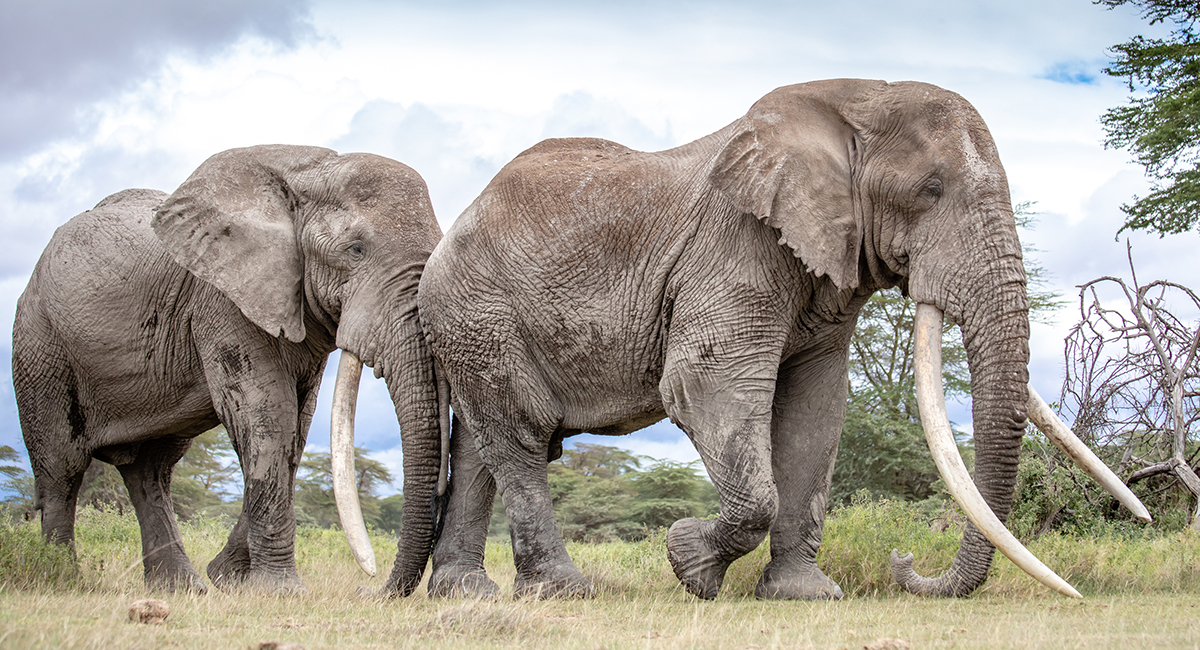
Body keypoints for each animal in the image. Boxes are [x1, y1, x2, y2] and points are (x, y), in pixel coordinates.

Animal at [10, 146, 446, 597]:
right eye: (355, 250)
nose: (367, 590)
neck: (309, 170)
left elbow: (296, 428)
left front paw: (230, 578)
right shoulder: (221, 299)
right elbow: (268, 414)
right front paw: (278, 592)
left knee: (151, 472)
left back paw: (181, 588)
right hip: (39, 341)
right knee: (61, 466)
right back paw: (62, 579)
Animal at [324, 79, 1147, 604]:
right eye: (931, 191)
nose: (906, 563)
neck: (854, 101)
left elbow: (816, 411)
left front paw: (806, 597)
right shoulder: (735, 244)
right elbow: (703, 386)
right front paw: (689, 565)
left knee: (483, 444)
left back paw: (468, 596)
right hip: (477, 312)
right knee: (520, 438)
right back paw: (562, 592)